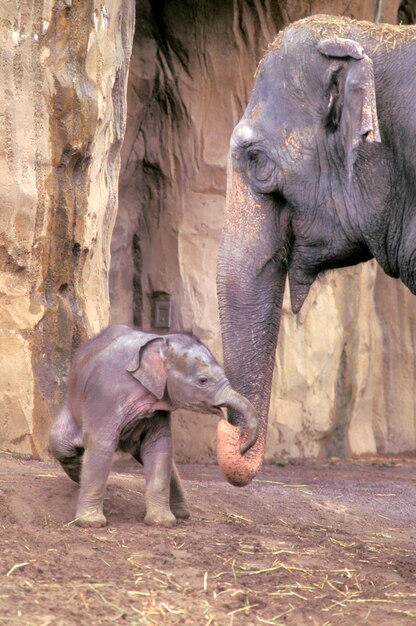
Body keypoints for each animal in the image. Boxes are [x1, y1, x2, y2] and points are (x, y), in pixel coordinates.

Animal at [48, 324, 256, 524]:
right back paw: (79, 478)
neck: (159, 341)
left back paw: (181, 515)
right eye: (203, 380)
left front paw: (161, 522)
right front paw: (91, 523)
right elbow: (101, 444)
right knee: (61, 445)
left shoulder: (158, 403)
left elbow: (159, 447)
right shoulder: (106, 394)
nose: (241, 443)